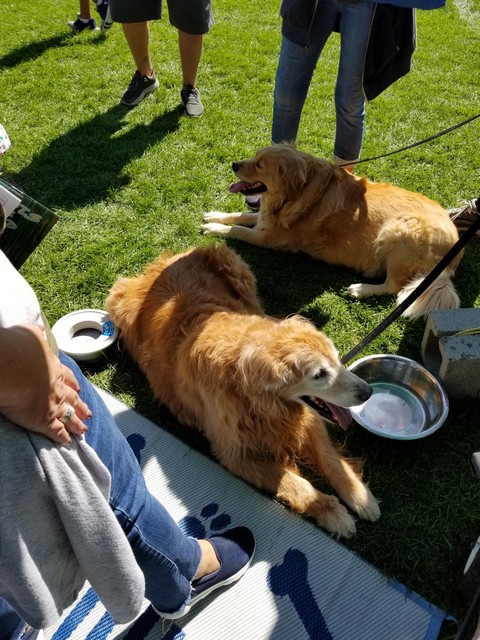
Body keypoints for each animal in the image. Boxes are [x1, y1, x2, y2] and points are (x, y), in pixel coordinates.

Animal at [106, 245, 380, 538]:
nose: (368, 392)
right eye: (318, 375)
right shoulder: (235, 454)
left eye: (338, 359)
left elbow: (330, 460)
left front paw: (359, 496)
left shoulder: (307, 419)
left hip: (236, 266)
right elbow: (296, 483)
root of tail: (160, 264)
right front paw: (333, 512)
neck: (260, 402)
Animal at [202, 144, 463, 320]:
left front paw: (214, 228)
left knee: (394, 286)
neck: (297, 193)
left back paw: (361, 289)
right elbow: (241, 216)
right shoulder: (266, 220)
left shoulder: (270, 238)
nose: (234, 165)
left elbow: (238, 229)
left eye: (259, 165)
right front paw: (215, 215)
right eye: (255, 157)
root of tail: (454, 251)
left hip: (398, 230)